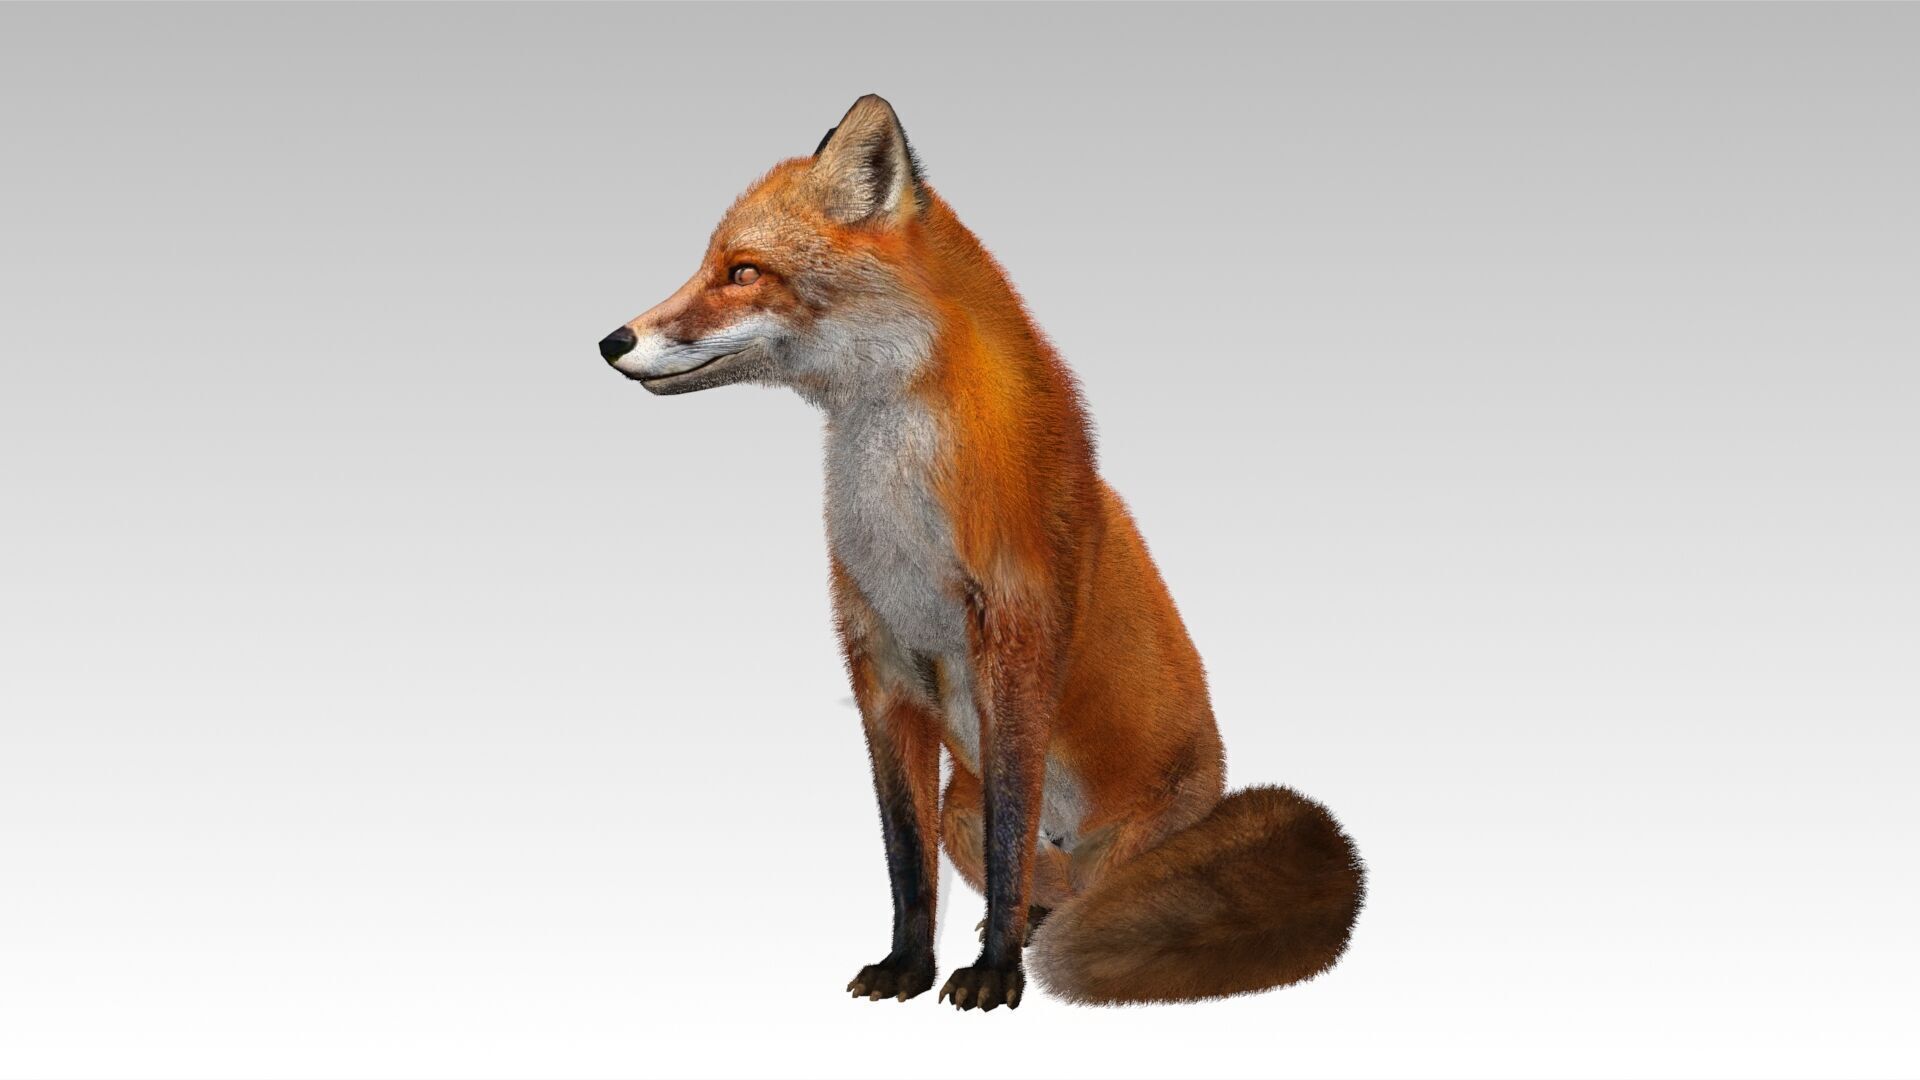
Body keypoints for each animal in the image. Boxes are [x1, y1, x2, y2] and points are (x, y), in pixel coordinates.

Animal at [598, 95, 1364, 1010]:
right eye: (711, 263)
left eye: (742, 271)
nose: (611, 341)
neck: (900, 529)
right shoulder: (883, 670)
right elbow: (905, 858)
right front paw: (908, 965)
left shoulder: (1017, 650)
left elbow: (1006, 841)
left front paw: (996, 974)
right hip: (962, 806)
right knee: (1028, 882)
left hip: (1120, 849)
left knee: (1057, 883)